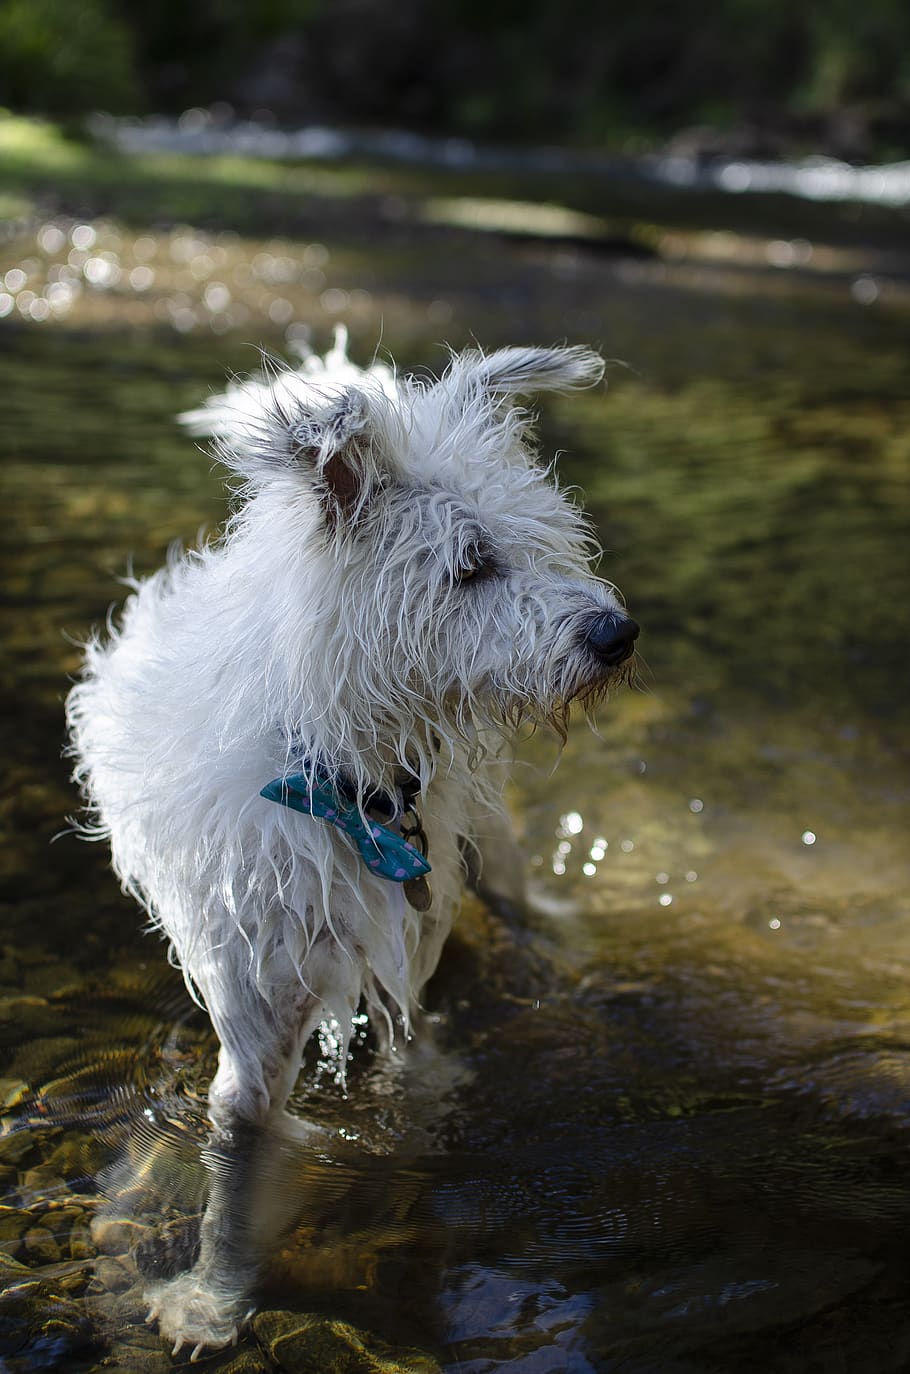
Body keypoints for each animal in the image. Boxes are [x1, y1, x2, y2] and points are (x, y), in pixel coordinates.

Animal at [67, 329, 637, 1352]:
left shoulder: (406, 964)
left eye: (547, 541)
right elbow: (233, 1179)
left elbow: (411, 1089)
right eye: (471, 564)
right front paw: (213, 1299)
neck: (348, 787)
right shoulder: (253, 1022)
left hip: (489, 843)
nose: (619, 634)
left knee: (521, 895)